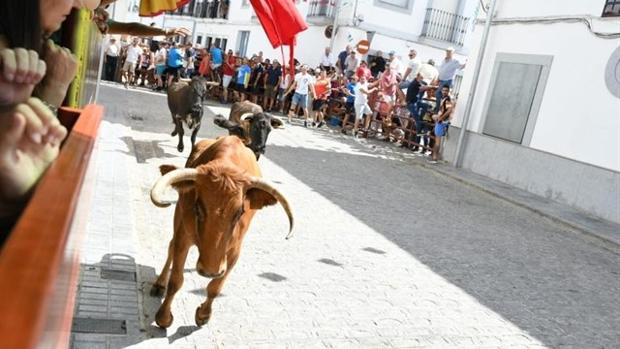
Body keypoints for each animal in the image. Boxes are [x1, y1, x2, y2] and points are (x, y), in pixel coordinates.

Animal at [151, 135, 294, 326]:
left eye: (240, 212)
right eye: (198, 207)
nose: (209, 271)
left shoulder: (234, 251)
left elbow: (215, 287)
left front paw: (203, 315)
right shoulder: (184, 237)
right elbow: (176, 280)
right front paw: (164, 318)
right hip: (178, 218)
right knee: (170, 248)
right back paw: (159, 284)